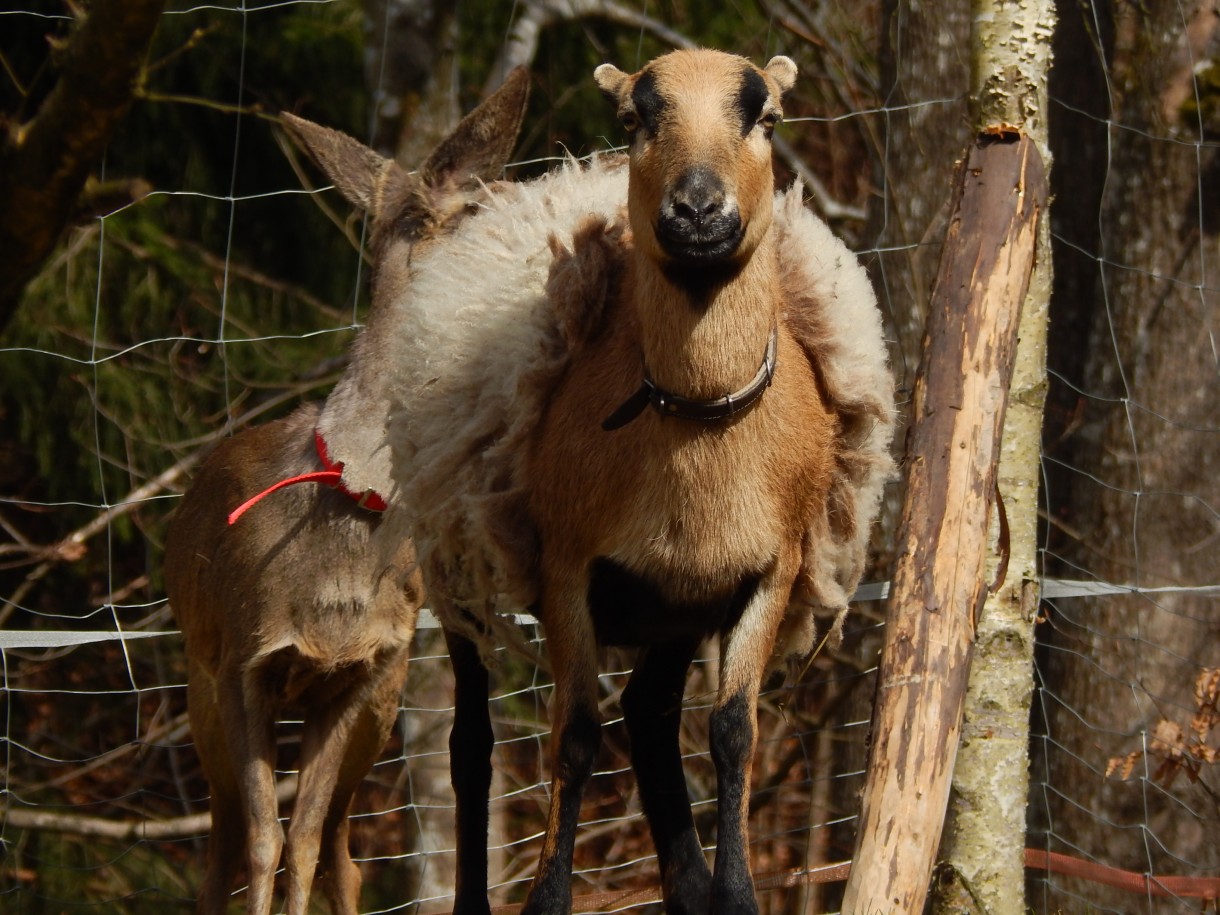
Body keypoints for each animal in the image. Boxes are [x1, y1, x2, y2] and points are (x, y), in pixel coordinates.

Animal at [161, 71, 529, 915]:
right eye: (474, 211)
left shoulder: (360, 674)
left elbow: (298, 845)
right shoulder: (244, 660)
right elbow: (263, 845)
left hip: (385, 704)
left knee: (340, 850)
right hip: (199, 684)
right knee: (223, 851)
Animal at [380, 48, 897, 915]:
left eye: (765, 117)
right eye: (634, 120)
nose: (697, 211)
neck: (696, 419)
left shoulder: (770, 570)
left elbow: (732, 731)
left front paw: (735, 895)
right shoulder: (567, 568)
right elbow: (575, 735)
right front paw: (547, 899)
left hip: (676, 603)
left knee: (651, 715)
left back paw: (688, 885)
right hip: (453, 568)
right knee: (471, 742)